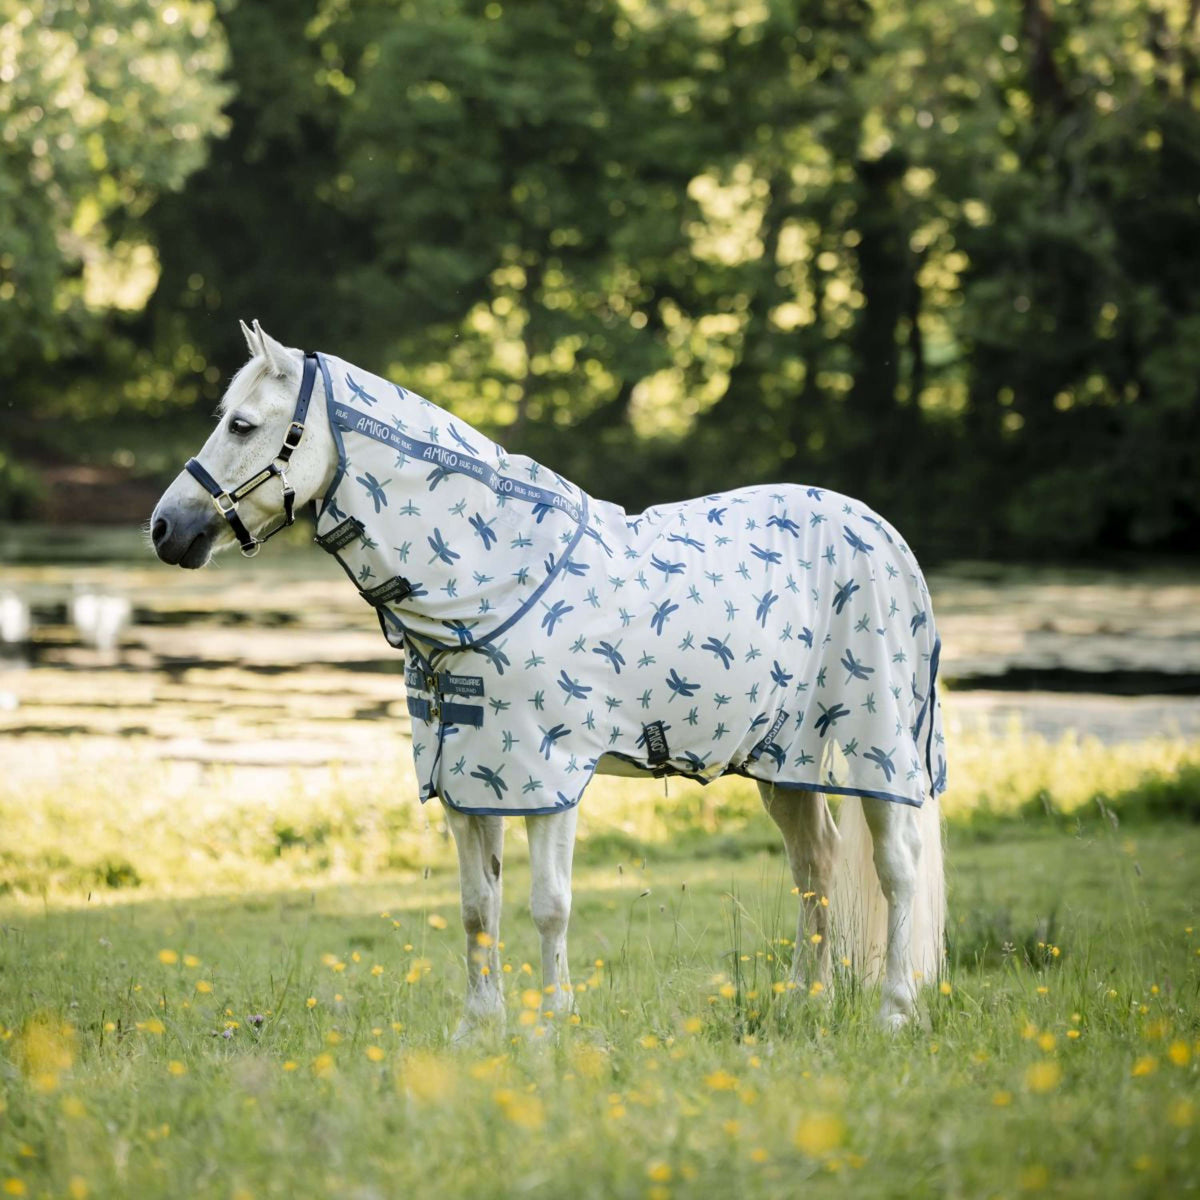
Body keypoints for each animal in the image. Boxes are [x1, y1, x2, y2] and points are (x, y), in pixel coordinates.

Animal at [151, 320, 947, 1035]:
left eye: (244, 425)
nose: (165, 529)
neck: (495, 581)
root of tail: (883, 534)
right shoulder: (466, 780)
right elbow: (478, 906)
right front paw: (479, 1027)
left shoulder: (550, 775)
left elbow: (549, 903)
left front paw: (553, 1025)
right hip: (785, 761)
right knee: (816, 866)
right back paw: (804, 1002)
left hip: (876, 748)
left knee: (897, 868)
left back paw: (896, 1011)